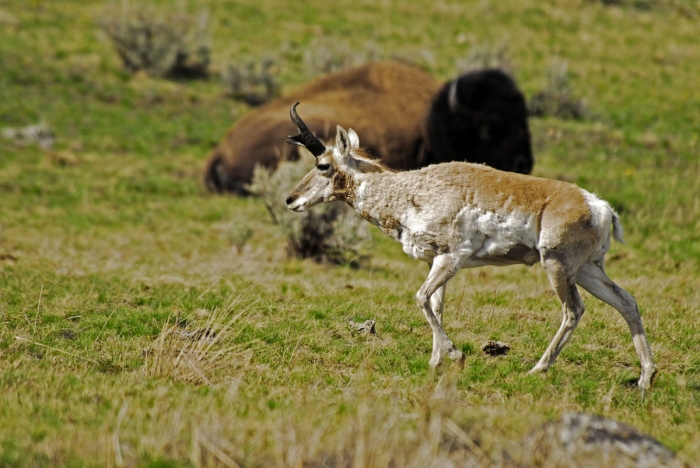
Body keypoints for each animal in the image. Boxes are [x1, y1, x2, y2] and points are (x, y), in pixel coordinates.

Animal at [284, 103, 656, 392]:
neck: (412, 189)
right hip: (587, 270)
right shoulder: (437, 262)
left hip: (558, 267)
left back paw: (537, 369)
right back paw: (645, 378)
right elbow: (436, 304)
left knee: (573, 310)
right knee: (626, 301)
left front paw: (454, 354)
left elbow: (420, 298)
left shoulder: (451, 257)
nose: (290, 199)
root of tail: (598, 205)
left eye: (323, 165)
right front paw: (435, 362)